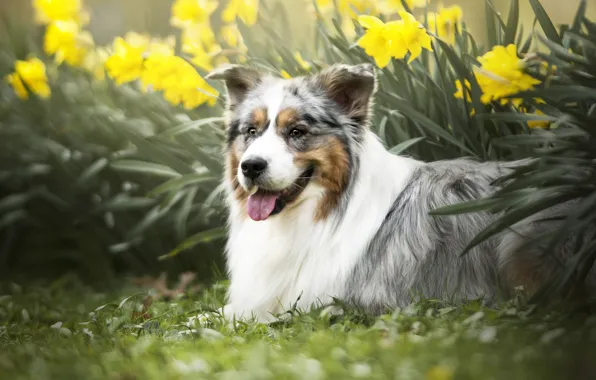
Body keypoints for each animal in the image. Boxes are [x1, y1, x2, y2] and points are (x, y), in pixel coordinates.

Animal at [205, 63, 592, 324]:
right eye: (251, 131)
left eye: (297, 131)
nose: (251, 167)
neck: (320, 211)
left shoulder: (350, 302)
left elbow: (252, 315)